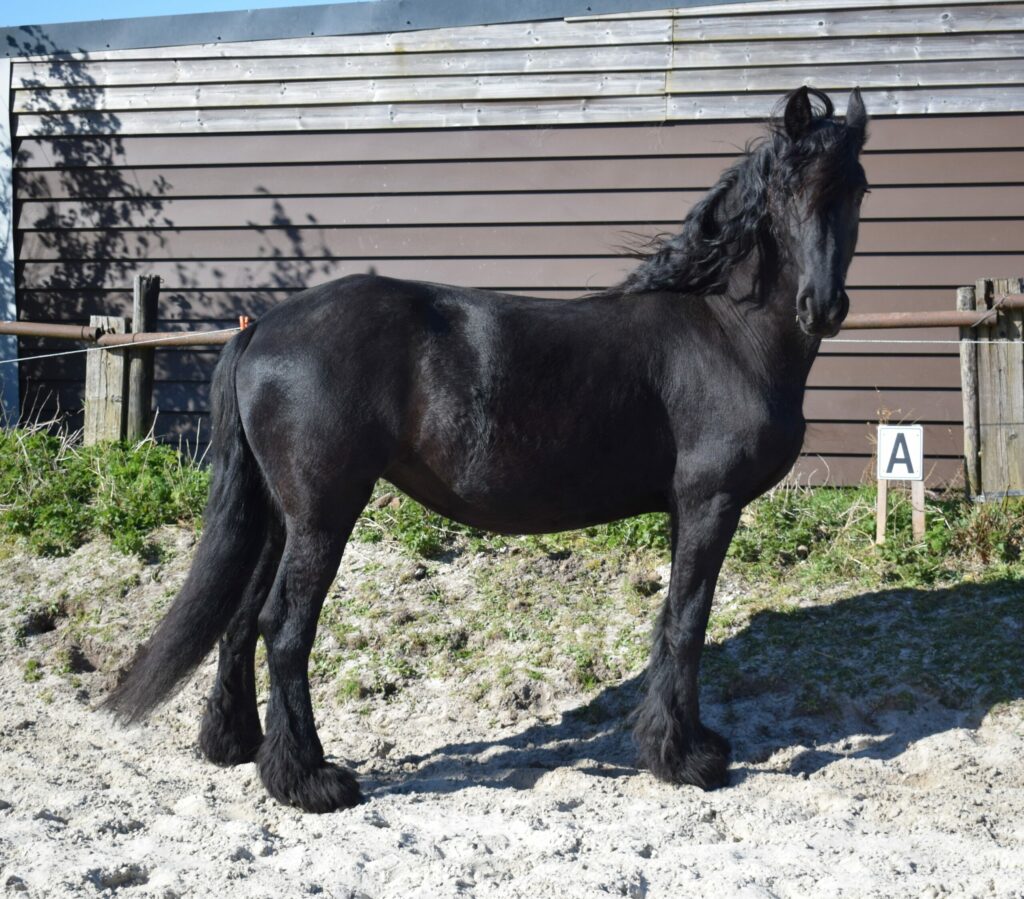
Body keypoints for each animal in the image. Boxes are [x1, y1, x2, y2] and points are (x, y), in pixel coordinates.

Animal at [104, 87, 870, 813]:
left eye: (858, 189)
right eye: (788, 190)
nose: (823, 306)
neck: (724, 330)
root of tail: (261, 327)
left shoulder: (689, 509)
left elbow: (673, 622)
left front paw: (683, 742)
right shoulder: (710, 503)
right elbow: (687, 623)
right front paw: (685, 759)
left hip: (277, 513)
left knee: (239, 620)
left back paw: (234, 744)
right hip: (322, 514)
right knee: (283, 628)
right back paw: (309, 778)